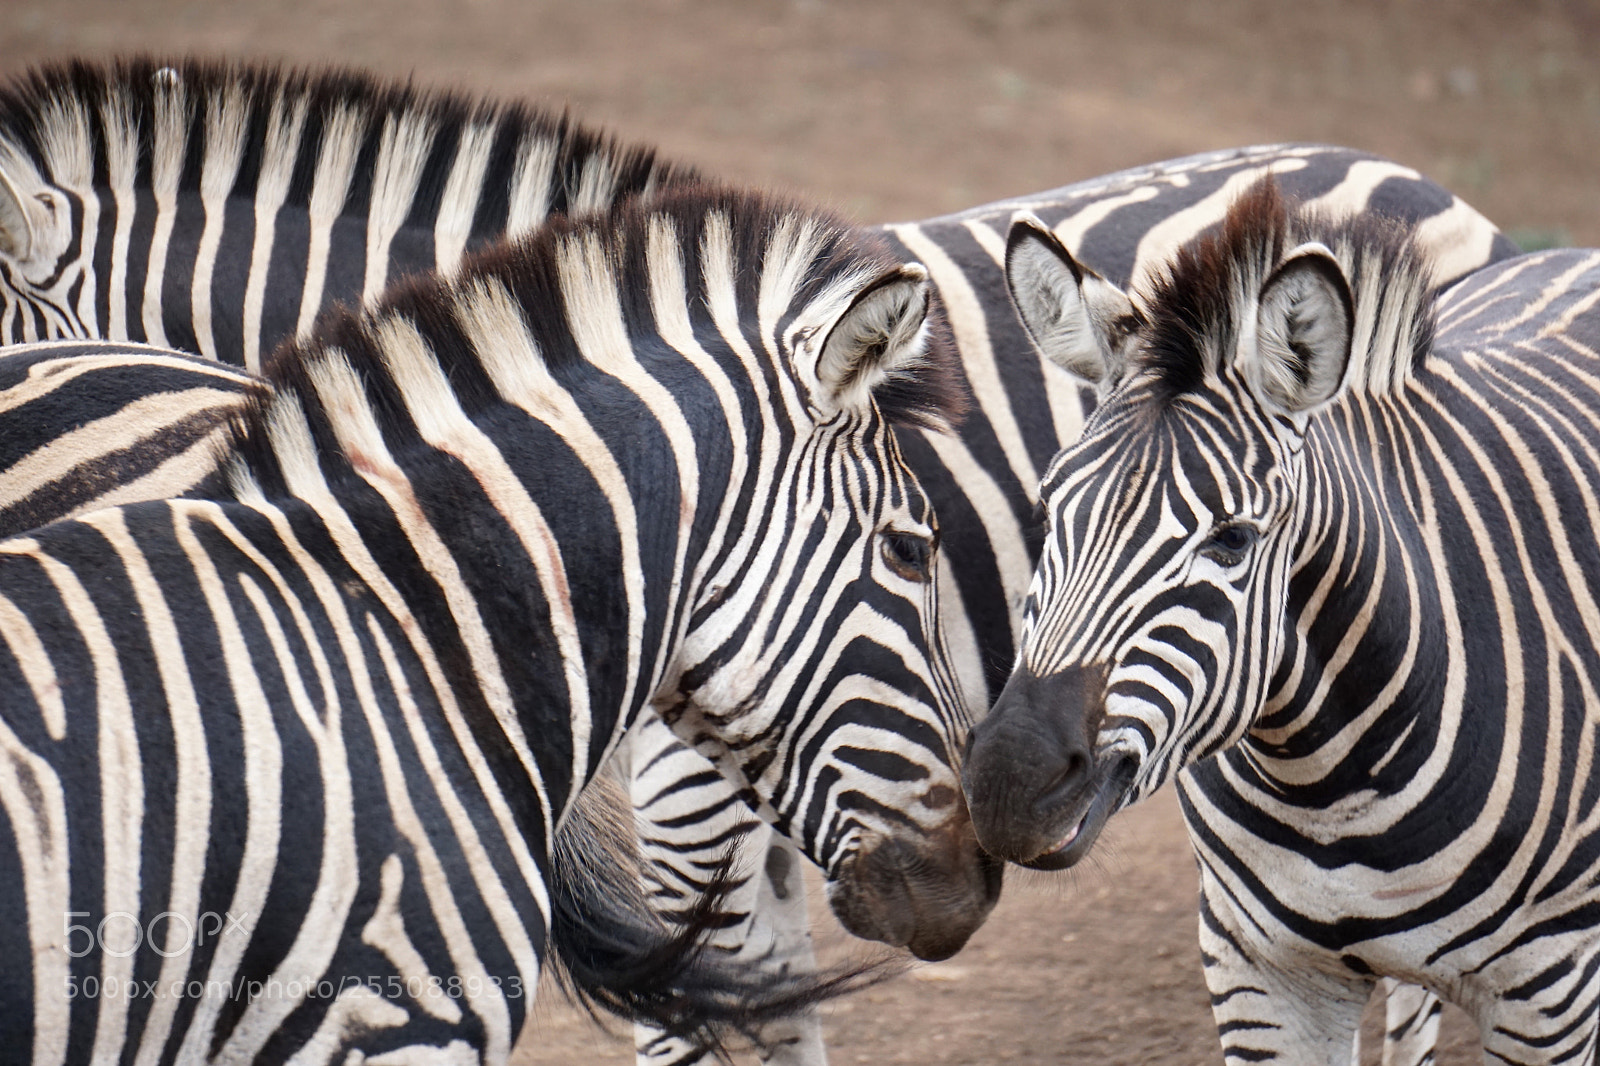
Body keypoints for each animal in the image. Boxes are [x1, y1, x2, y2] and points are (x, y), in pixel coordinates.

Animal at [962, 176, 1600, 1063]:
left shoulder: (1550, 991)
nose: (1008, 785)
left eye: (1231, 539)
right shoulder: (1259, 971)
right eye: (1048, 509)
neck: (1328, 785)